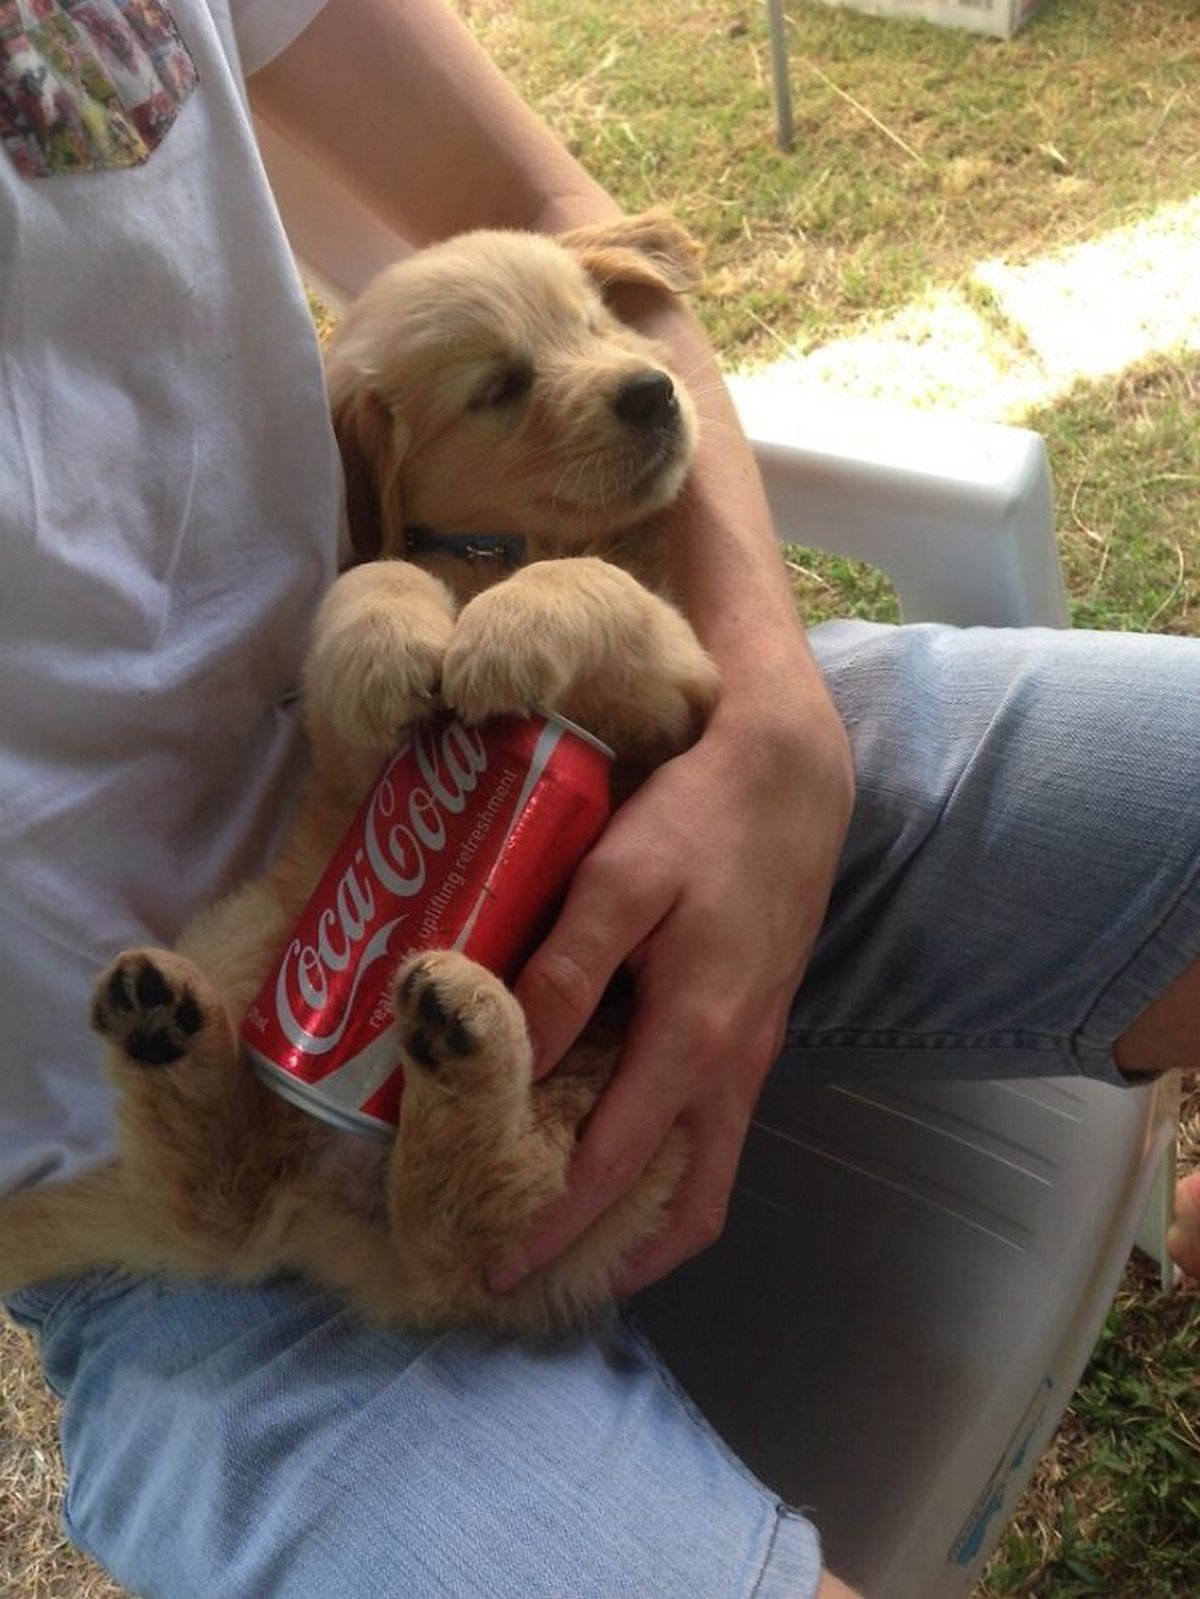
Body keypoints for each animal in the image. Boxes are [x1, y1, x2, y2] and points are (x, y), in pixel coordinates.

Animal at [0, 212, 720, 1336]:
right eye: (499, 387)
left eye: (596, 320)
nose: (652, 389)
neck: (495, 550)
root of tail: (327, 1211)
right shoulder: (346, 752)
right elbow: (376, 576)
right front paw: (395, 643)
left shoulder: (677, 691)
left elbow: (599, 582)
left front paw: (511, 629)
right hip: (255, 929)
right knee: (236, 1202)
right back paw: (173, 1027)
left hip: (614, 1119)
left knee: (472, 1229)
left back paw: (456, 1038)